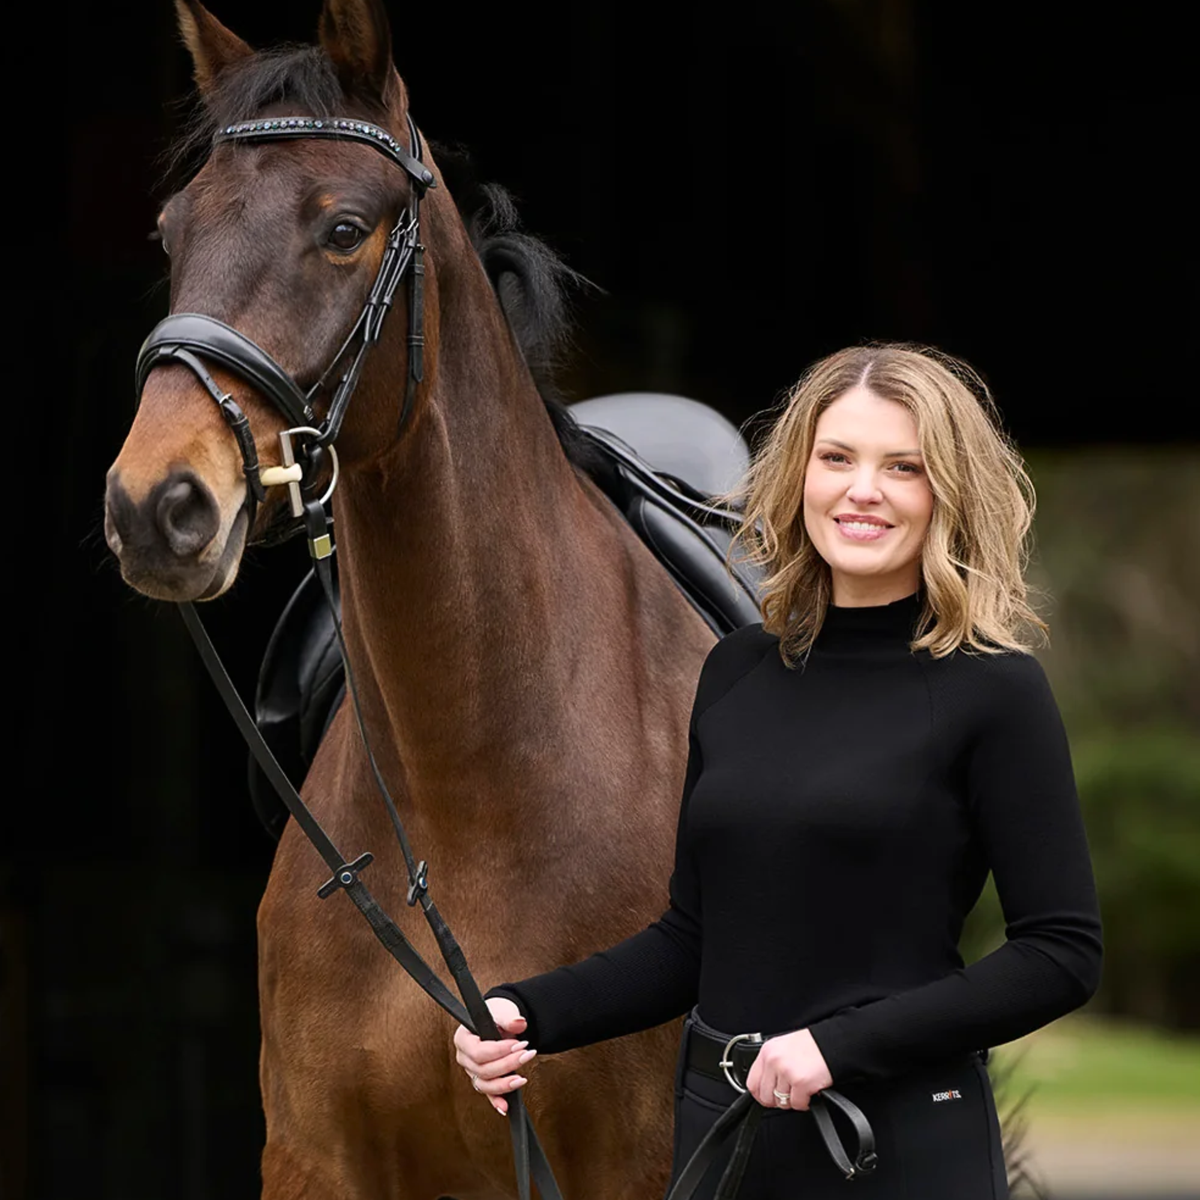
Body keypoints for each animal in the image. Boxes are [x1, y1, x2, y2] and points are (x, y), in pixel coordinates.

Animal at [103, 0, 718, 1195]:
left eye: (344, 229)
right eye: (171, 231)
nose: (155, 504)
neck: (470, 802)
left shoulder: (636, 1162)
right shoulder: (311, 1158)